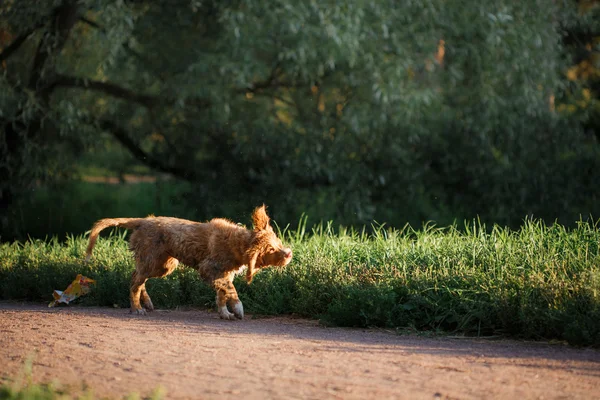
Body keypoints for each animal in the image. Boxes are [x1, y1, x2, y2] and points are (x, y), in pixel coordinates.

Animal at [84, 206, 292, 318]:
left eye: (278, 241)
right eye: (270, 250)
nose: (289, 253)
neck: (238, 244)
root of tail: (142, 221)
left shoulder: (224, 273)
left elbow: (222, 293)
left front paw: (225, 314)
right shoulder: (208, 269)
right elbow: (229, 289)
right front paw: (238, 309)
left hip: (162, 265)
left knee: (137, 277)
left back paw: (147, 304)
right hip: (152, 260)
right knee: (135, 282)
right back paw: (137, 309)